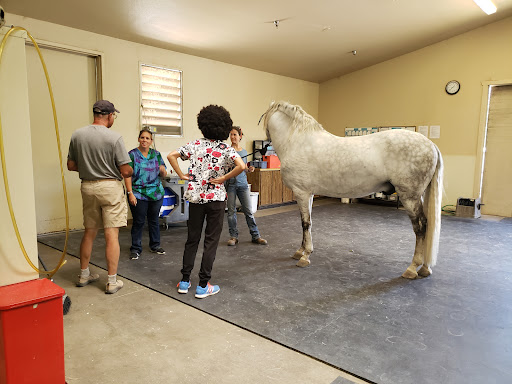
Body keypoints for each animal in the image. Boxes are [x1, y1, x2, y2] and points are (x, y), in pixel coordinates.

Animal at [262, 100, 442, 278]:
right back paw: (425, 268)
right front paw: (300, 251)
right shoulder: (309, 194)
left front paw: (305, 256)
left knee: (421, 226)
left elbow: (305, 223)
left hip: (409, 197)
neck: (297, 142)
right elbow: (308, 222)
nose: (265, 147)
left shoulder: (301, 192)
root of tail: (431, 144)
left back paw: (412, 268)